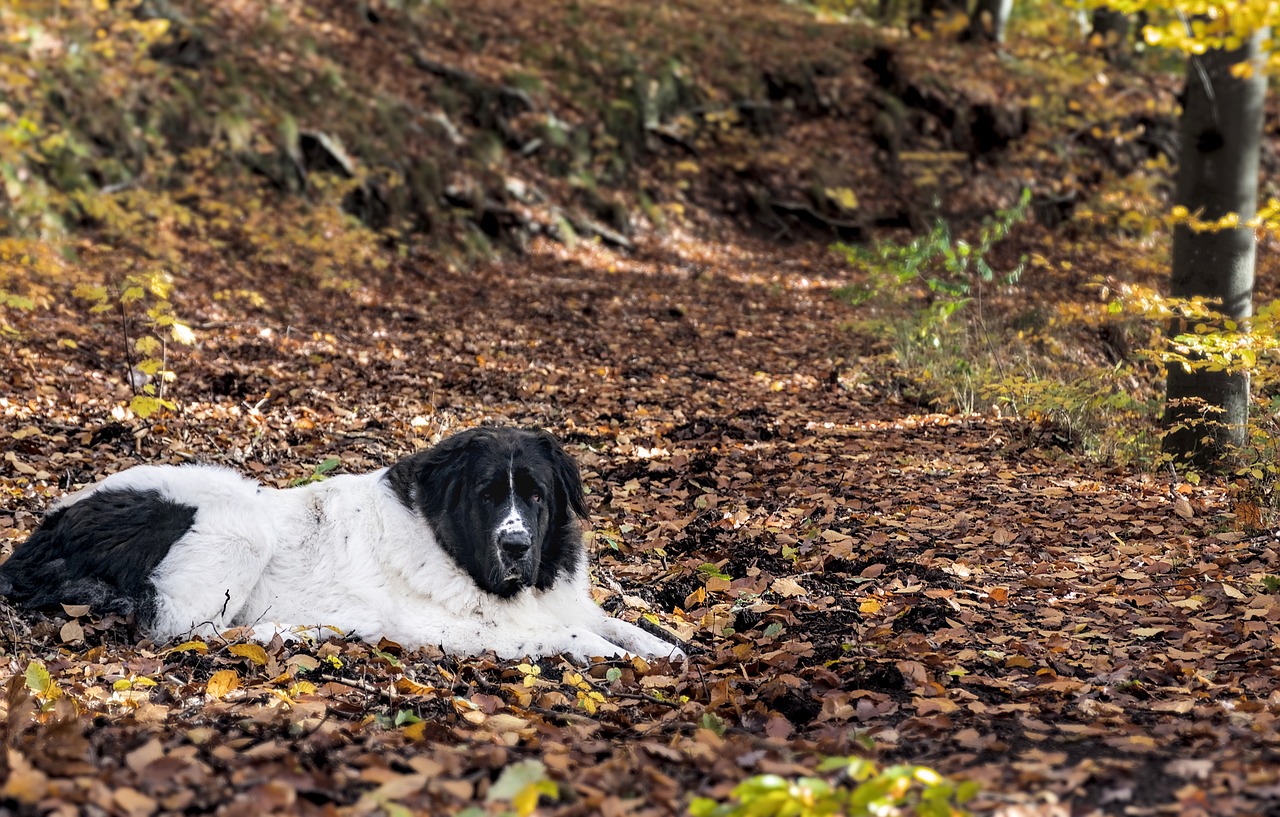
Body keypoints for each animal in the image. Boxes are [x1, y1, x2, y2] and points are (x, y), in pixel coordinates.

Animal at [0, 430, 686, 665]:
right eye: (488, 496)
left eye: (537, 497)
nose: (516, 544)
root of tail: (47, 528)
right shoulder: (451, 625)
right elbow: (569, 635)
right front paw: (612, 655)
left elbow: (617, 622)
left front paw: (664, 646)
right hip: (238, 525)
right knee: (185, 631)